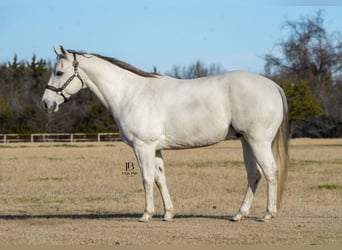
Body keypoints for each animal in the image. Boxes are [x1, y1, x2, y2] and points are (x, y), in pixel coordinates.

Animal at [40, 46, 288, 222]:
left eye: (59, 72)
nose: (46, 103)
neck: (130, 93)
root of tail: (273, 86)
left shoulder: (143, 147)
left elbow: (147, 178)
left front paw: (146, 214)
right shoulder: (155, 149)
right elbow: (160, 179)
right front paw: (168, 213)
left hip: (258, 141)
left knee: (270, 172)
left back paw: (268, 214)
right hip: (246, 142)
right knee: (254, 175)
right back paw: (239, 214)